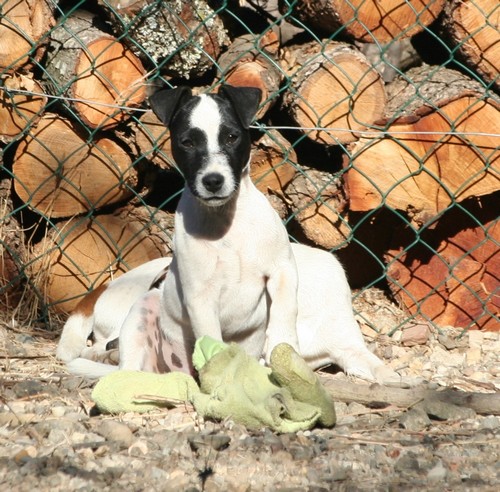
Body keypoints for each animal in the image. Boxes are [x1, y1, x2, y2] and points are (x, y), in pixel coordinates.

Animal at [57, 85, 402, 384]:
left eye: (232, 137)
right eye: (187, 142)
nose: (212, 180)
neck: (226, 225)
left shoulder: (338, 337)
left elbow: (370, 364)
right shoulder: (201, 297)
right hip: (141, 312)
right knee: (118, 361)